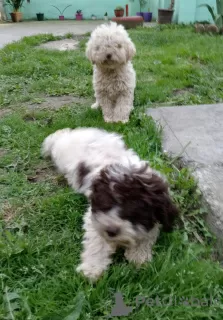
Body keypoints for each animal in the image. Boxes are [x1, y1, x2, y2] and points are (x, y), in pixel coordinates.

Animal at [41, 127, 178, 280]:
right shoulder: (95, 217)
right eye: (106, 204)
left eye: (135, 213)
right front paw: (92, 269)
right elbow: (98, 241)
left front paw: (139, 257)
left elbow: (148, 233)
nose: (111, 230)